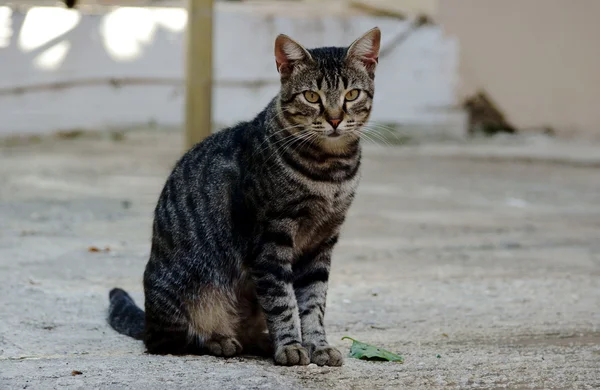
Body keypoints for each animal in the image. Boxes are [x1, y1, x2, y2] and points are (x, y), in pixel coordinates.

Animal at [107, 27, 380, 366]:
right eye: (312, 96)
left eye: (352, 95)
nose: (334, 119)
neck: (331, 172)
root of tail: (147, 321)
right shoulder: (270, 240)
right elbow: (282, 301)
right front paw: (290, 346)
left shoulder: (323, 241)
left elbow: (313, 303)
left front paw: (317, 345)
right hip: (188, 293)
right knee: (170, 340)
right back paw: (220, 340)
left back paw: (259, 340)